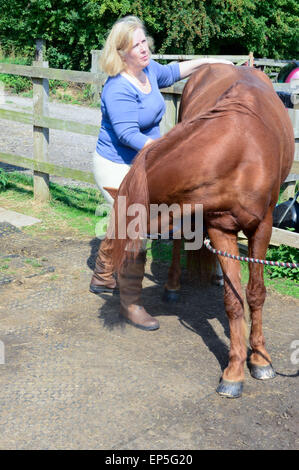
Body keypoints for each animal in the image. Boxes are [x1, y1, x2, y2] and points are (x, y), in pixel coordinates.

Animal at [109, 64, 294, 398]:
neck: (242, 148)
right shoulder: (220, 227)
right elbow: (233, 302)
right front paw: (234, 371)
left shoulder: (262, 227)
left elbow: (255, 293)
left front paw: (260, 359)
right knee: (179, 241)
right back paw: (172, 286)